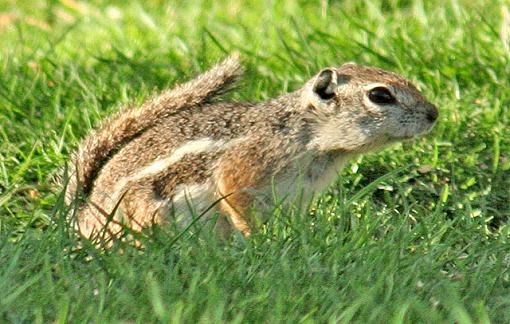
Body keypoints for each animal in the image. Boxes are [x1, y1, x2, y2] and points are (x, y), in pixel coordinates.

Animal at [63, 53, 438, 240]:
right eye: (380, 95)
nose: (434, 114)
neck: (309, 136)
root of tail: (81, 220)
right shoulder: (247, 162)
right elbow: (234, 195)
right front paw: (256, 240)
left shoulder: (297, 196)